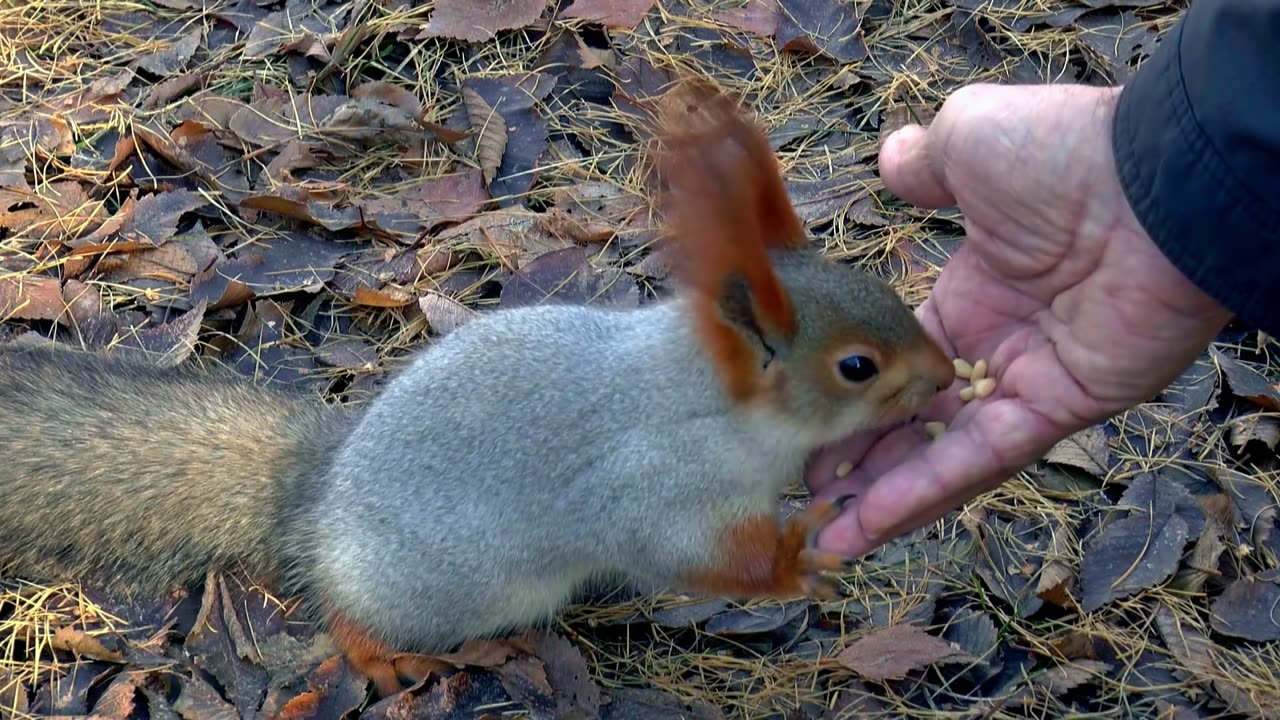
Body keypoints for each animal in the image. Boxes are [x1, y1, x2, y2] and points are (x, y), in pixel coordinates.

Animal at [0, 82, 957, 696]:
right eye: (857, 367)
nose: (949, 377)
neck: (710, 404)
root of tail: (316, 499)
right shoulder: (653, 487)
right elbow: (694, 557)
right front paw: (800, 558)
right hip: (436, 588)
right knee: (349, 614)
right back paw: (381, 656)